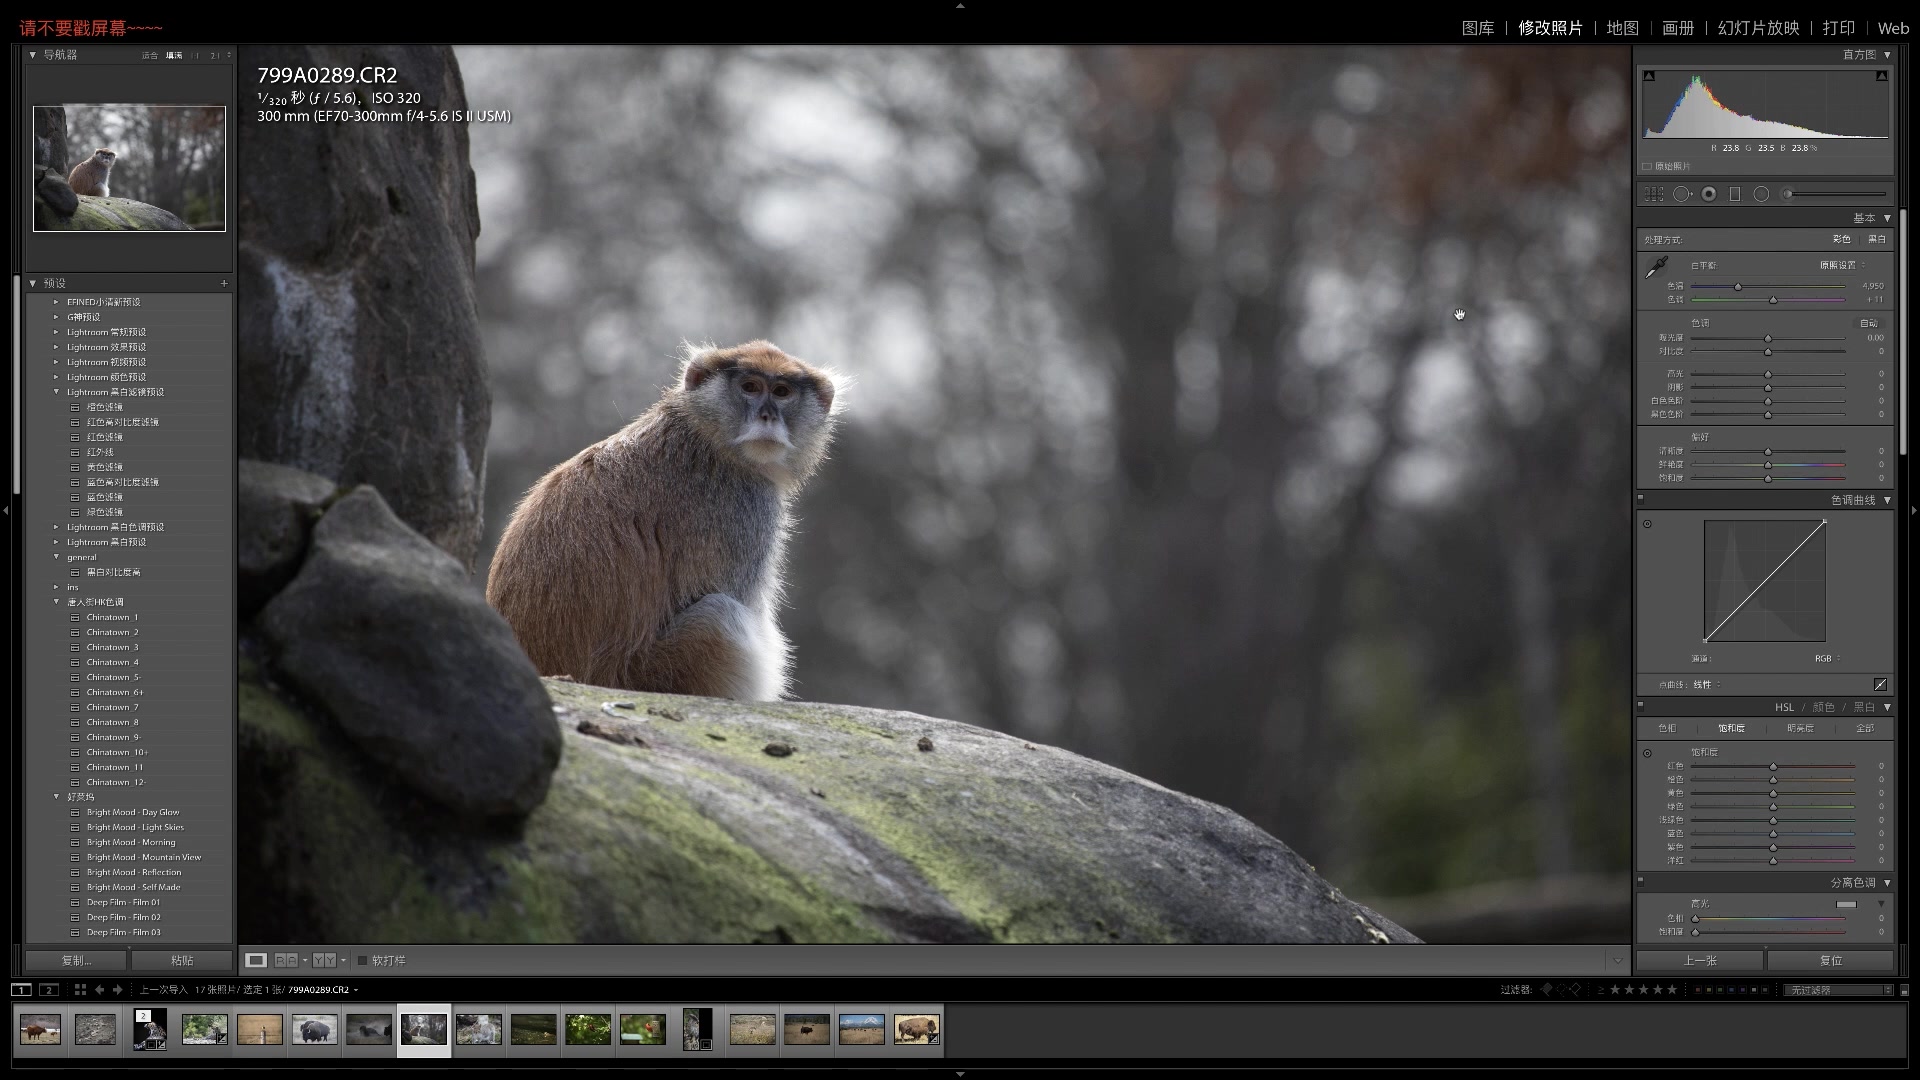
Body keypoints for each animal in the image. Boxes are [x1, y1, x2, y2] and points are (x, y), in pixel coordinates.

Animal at [483, 340, 837, 703]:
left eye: (782, 392)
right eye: (749, 387)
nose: (767, 416)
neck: (702, 429)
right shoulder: (746, 506)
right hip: (651, 669)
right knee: (720, 616)